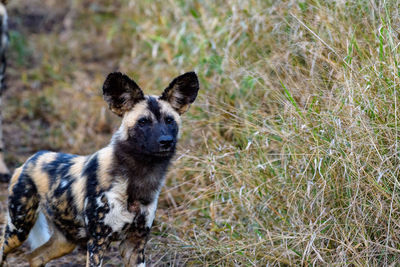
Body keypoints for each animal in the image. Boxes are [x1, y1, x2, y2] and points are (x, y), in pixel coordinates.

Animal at [0, 72, 200, 266]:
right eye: (143, 122)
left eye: (170, 121)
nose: (166, 141)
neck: (140, 177)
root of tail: (30, 159)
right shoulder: (98, 242)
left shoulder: (135, 244)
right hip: (19, 228)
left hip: (66, 241)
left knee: (34, 257)